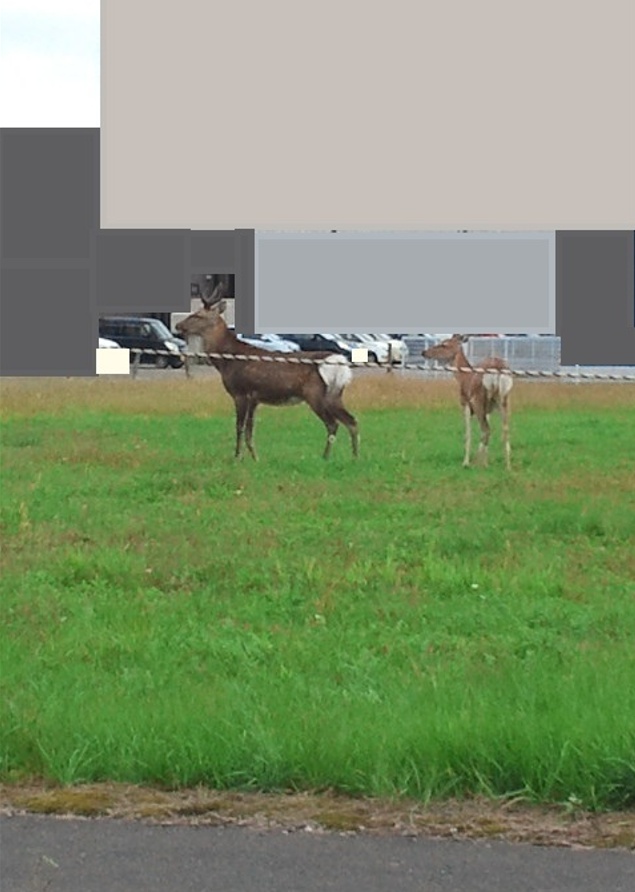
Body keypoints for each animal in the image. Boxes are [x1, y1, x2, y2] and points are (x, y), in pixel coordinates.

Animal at [175, 284, 359, 461]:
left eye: (197, 315)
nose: (177, 325)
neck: (227, 362)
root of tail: (339, 363)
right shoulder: (255, 398)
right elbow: (250, 429)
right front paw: (255, 457)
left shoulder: (241, 393)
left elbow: (239, 426)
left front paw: (237, 457)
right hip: (335, 394)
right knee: (352, 421)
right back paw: (354, 457)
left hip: (315, 394)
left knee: (333, 423)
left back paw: (326, 457)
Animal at [422, 334, 513, 470]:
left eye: (444, 344)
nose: (424, 352)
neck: (464, 378)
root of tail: (497, 369)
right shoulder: (488, 410)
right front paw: (486, 462)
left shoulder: (465, 404)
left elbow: (467, 433)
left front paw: (466, 462)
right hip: (504, 399)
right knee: (504, 429)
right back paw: (507, 466)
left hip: (477, 399)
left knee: (486, 429)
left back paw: (475, 463)